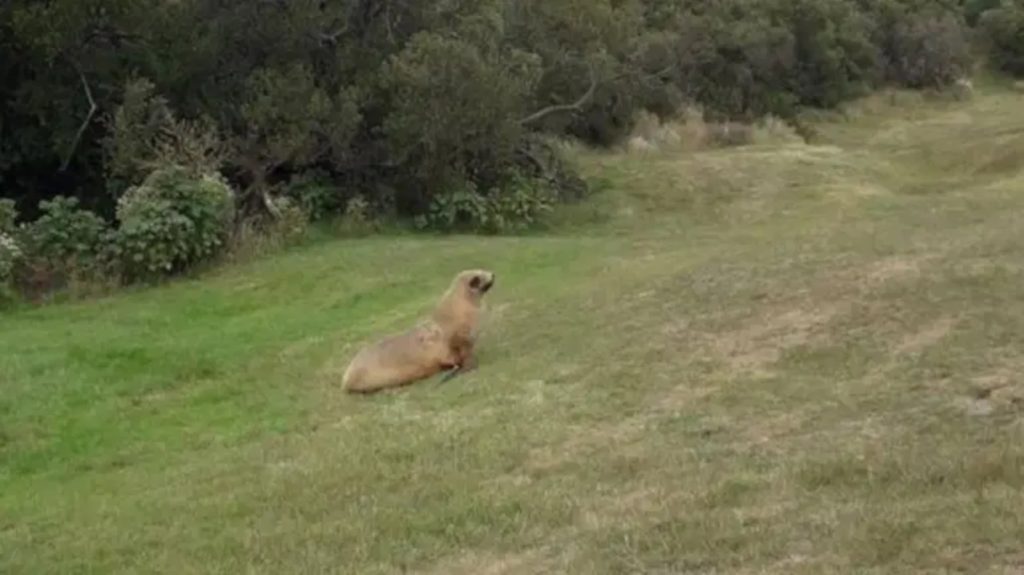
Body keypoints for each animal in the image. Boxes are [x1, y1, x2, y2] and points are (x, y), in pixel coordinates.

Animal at [341, 269, 496, 394]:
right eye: (478, 276)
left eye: (482, 270)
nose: (493, 274)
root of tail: (345, 380)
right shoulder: (457, 341)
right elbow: (460, 356)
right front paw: (470, 366)